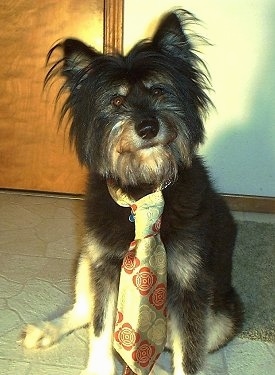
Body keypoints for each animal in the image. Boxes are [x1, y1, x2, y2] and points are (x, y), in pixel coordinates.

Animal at [22, 8, 246, 375]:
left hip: (221, 319)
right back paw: (46, 331)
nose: (148, 126)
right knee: (84, 313)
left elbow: (188, 355)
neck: (143, 189)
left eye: (159, 91)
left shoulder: (189, 284)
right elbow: (100, 329)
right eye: (116, 100)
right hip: (87, 259)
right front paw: (98, 368)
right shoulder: (105, 264)